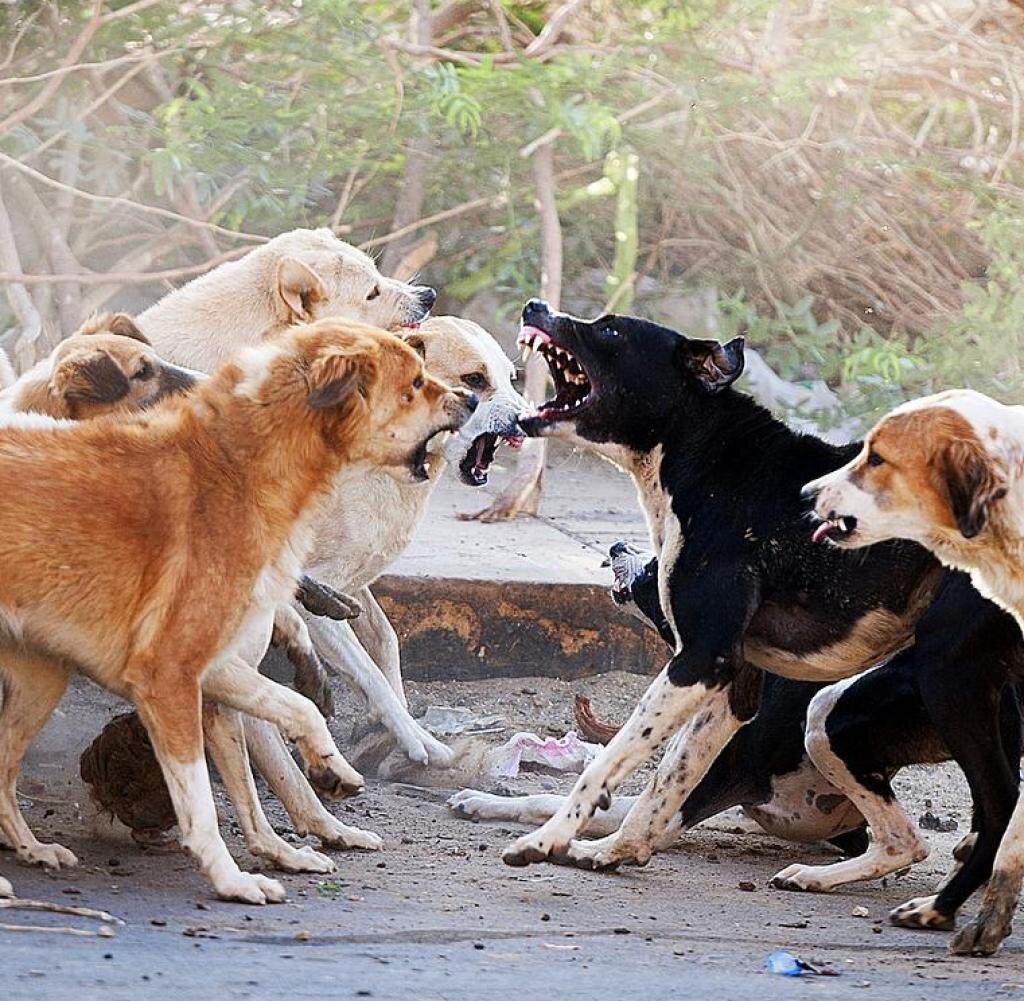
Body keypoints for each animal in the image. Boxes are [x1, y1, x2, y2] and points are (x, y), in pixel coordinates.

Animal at [0, 317, 471, 896]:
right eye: (416, 383)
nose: (472, 398)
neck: (240, 467)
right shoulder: (168, 676)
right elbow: (201, 799)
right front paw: (229, 878)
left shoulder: (217, 677)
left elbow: (273, 747)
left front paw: (309, 806)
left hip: (41, 681)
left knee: (3, 771)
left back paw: (31, 848)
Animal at [454, 298, 1024, 953]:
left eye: (611, 330)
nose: (535, 305)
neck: (711, 460)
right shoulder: (732, 682)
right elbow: (667, 779)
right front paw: (617, 851)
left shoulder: (700, 659)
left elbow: (611, 761)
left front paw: (546, 841)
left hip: (900, 690)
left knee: (987, 806)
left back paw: (938, 909)